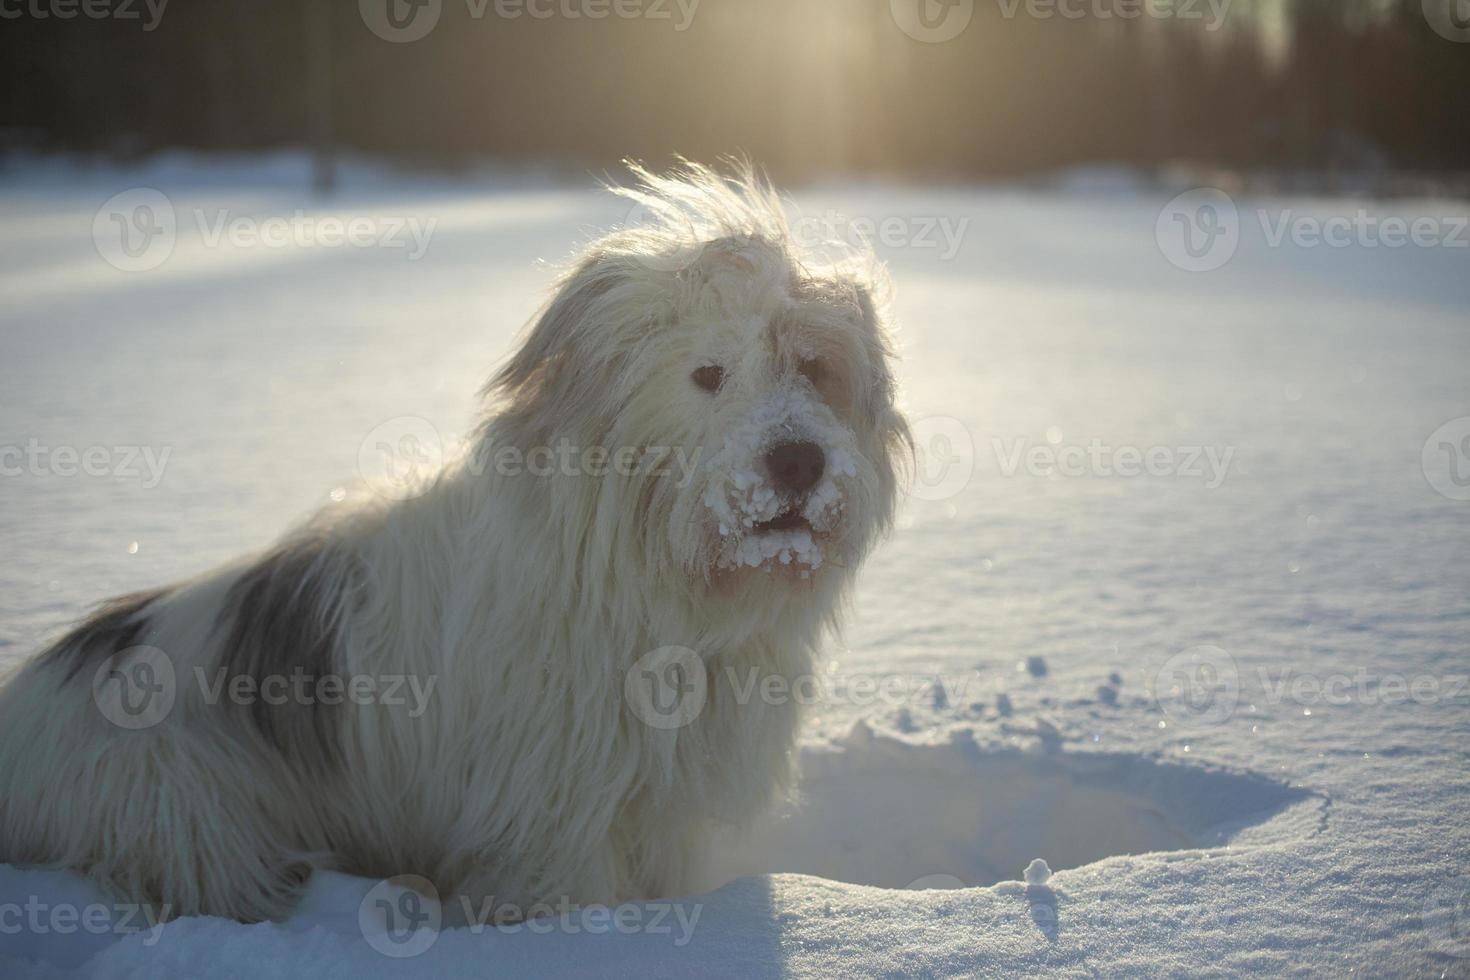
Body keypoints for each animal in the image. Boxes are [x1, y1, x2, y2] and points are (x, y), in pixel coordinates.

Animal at [0, 159, 905, 922]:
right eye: (708, 374)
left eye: (814, 367)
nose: (799, 460)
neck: (650, 586)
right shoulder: (551, 818)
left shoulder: (654, 808)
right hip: (175, 792)